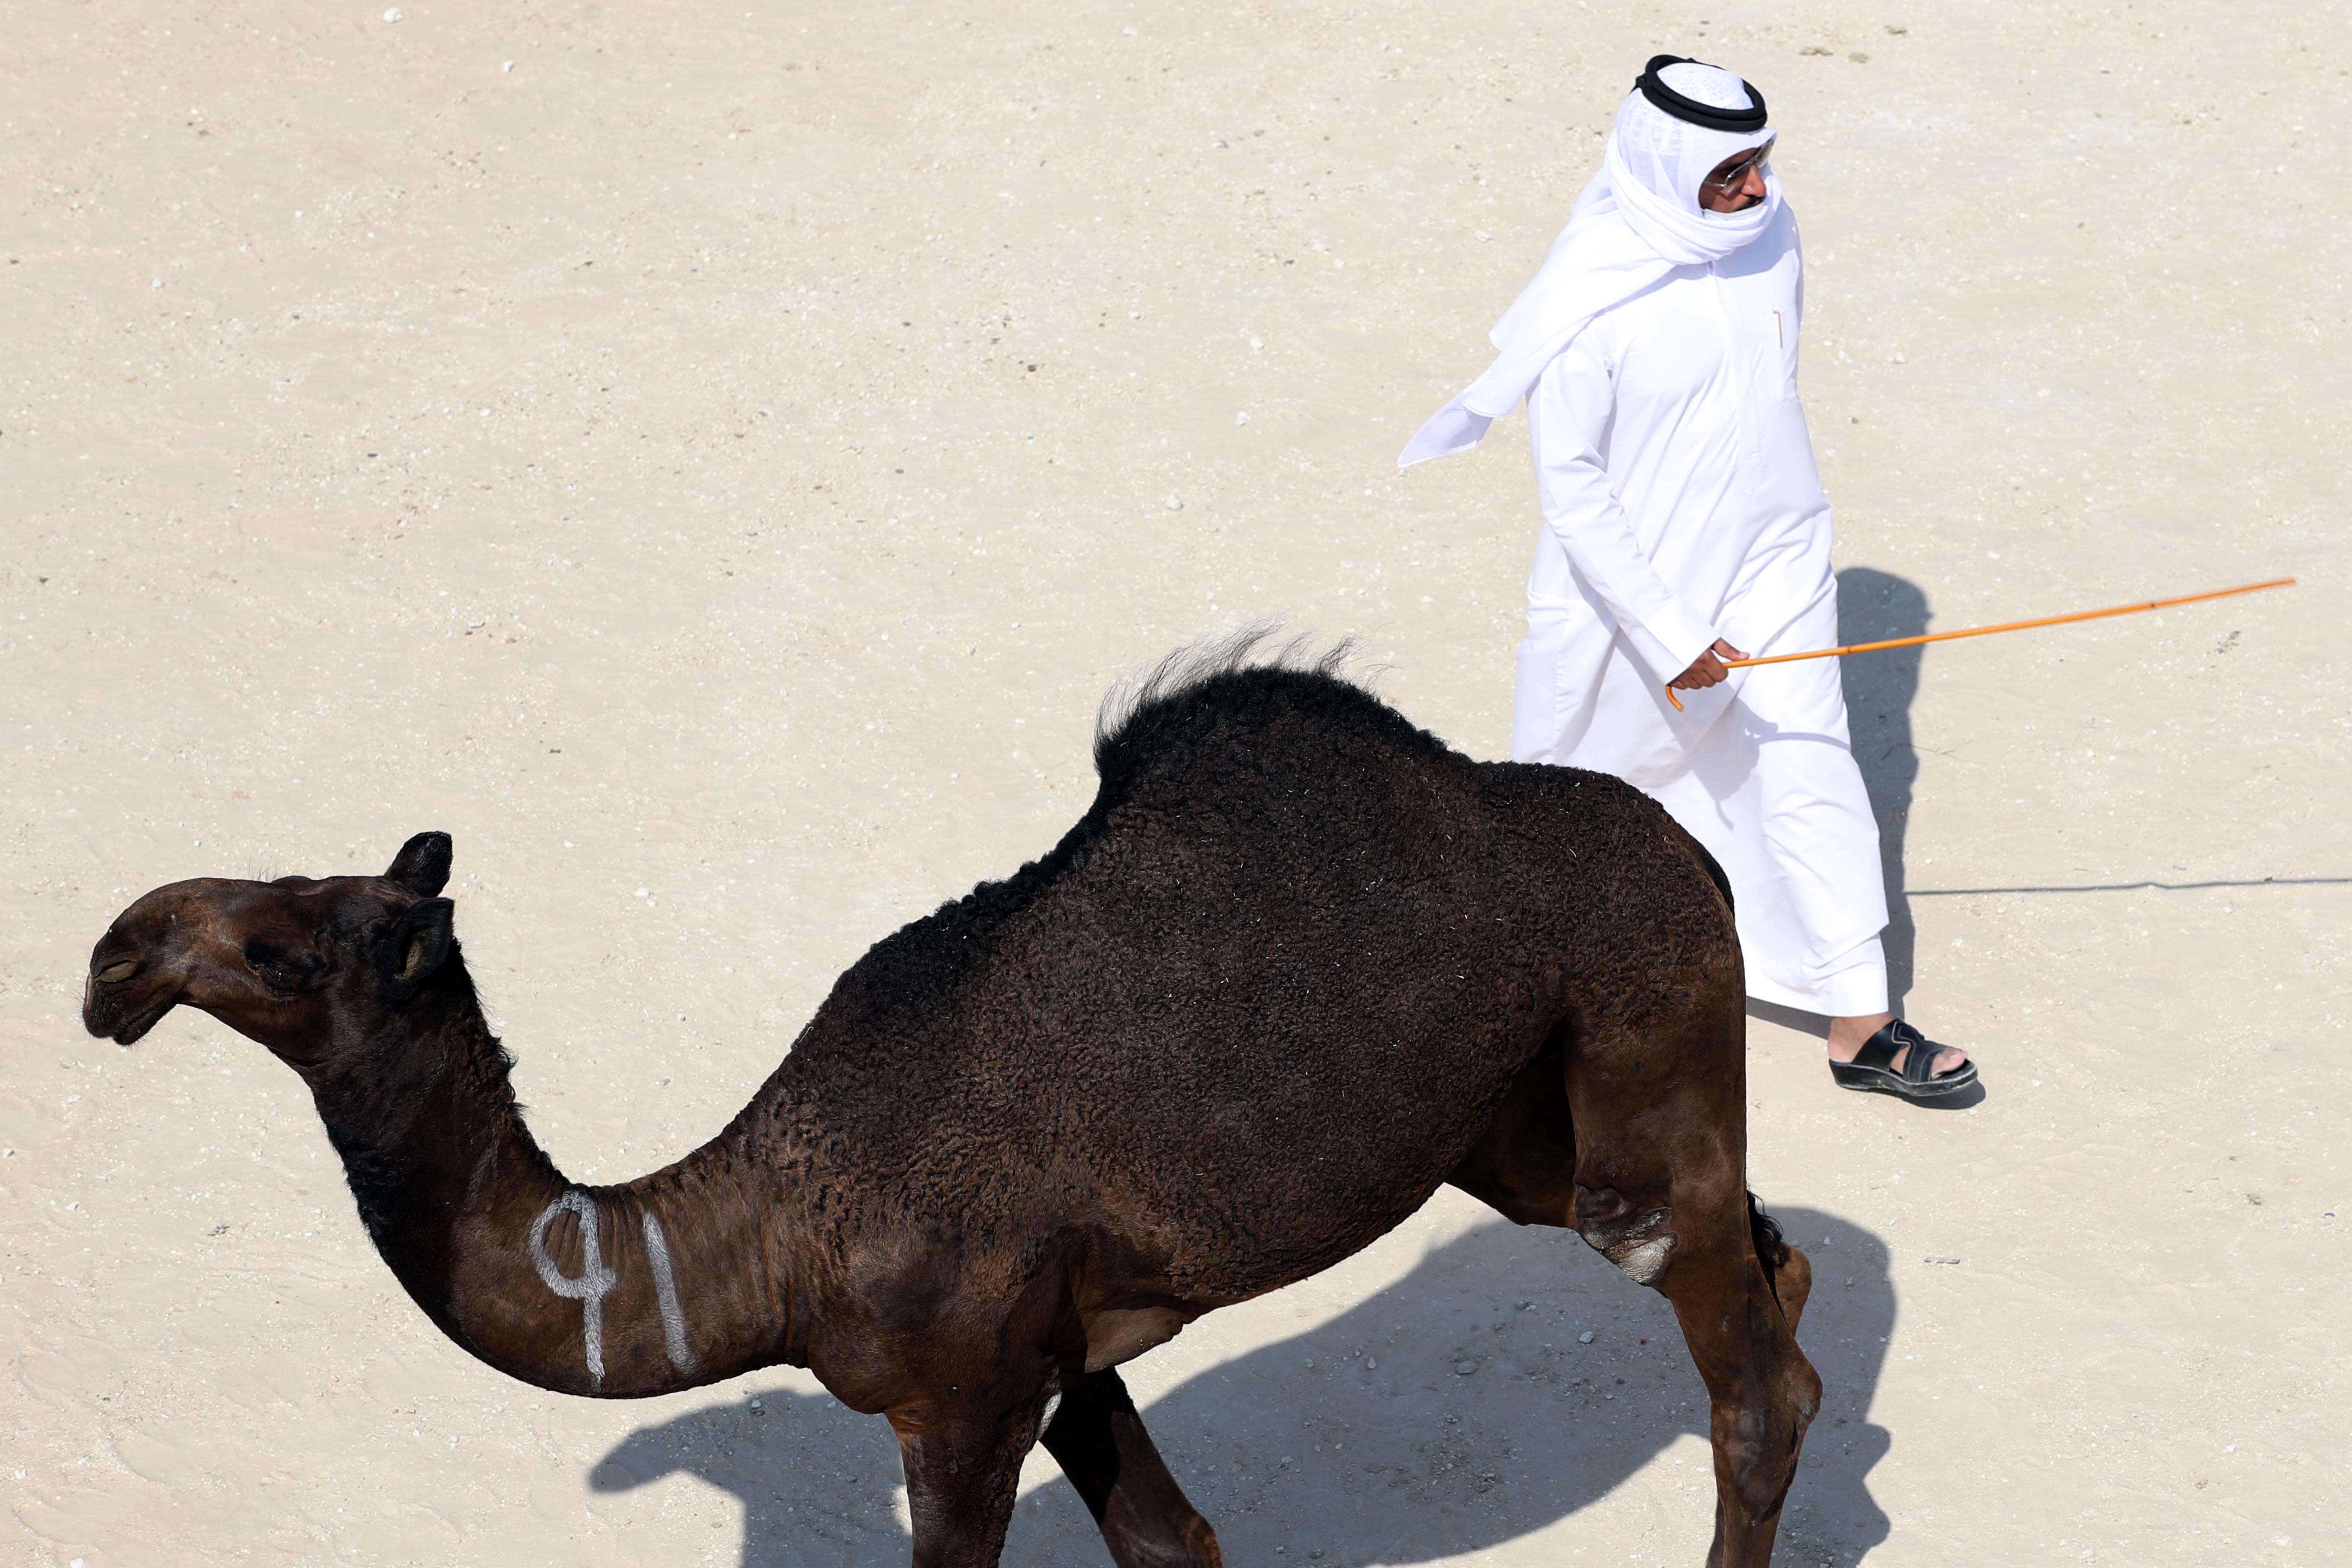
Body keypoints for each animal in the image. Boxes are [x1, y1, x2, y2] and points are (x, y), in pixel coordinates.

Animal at [83, 644, 1816, 1561]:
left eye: (286, 944)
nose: (115, 960)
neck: (764, 1233)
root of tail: (1696, 850)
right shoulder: (1062, 1355)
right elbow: (1172, 1539)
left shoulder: (963, 1391)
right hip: (1517, 1128)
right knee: (1776, 1275)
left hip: (1648, 1032)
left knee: (1744, 1369)